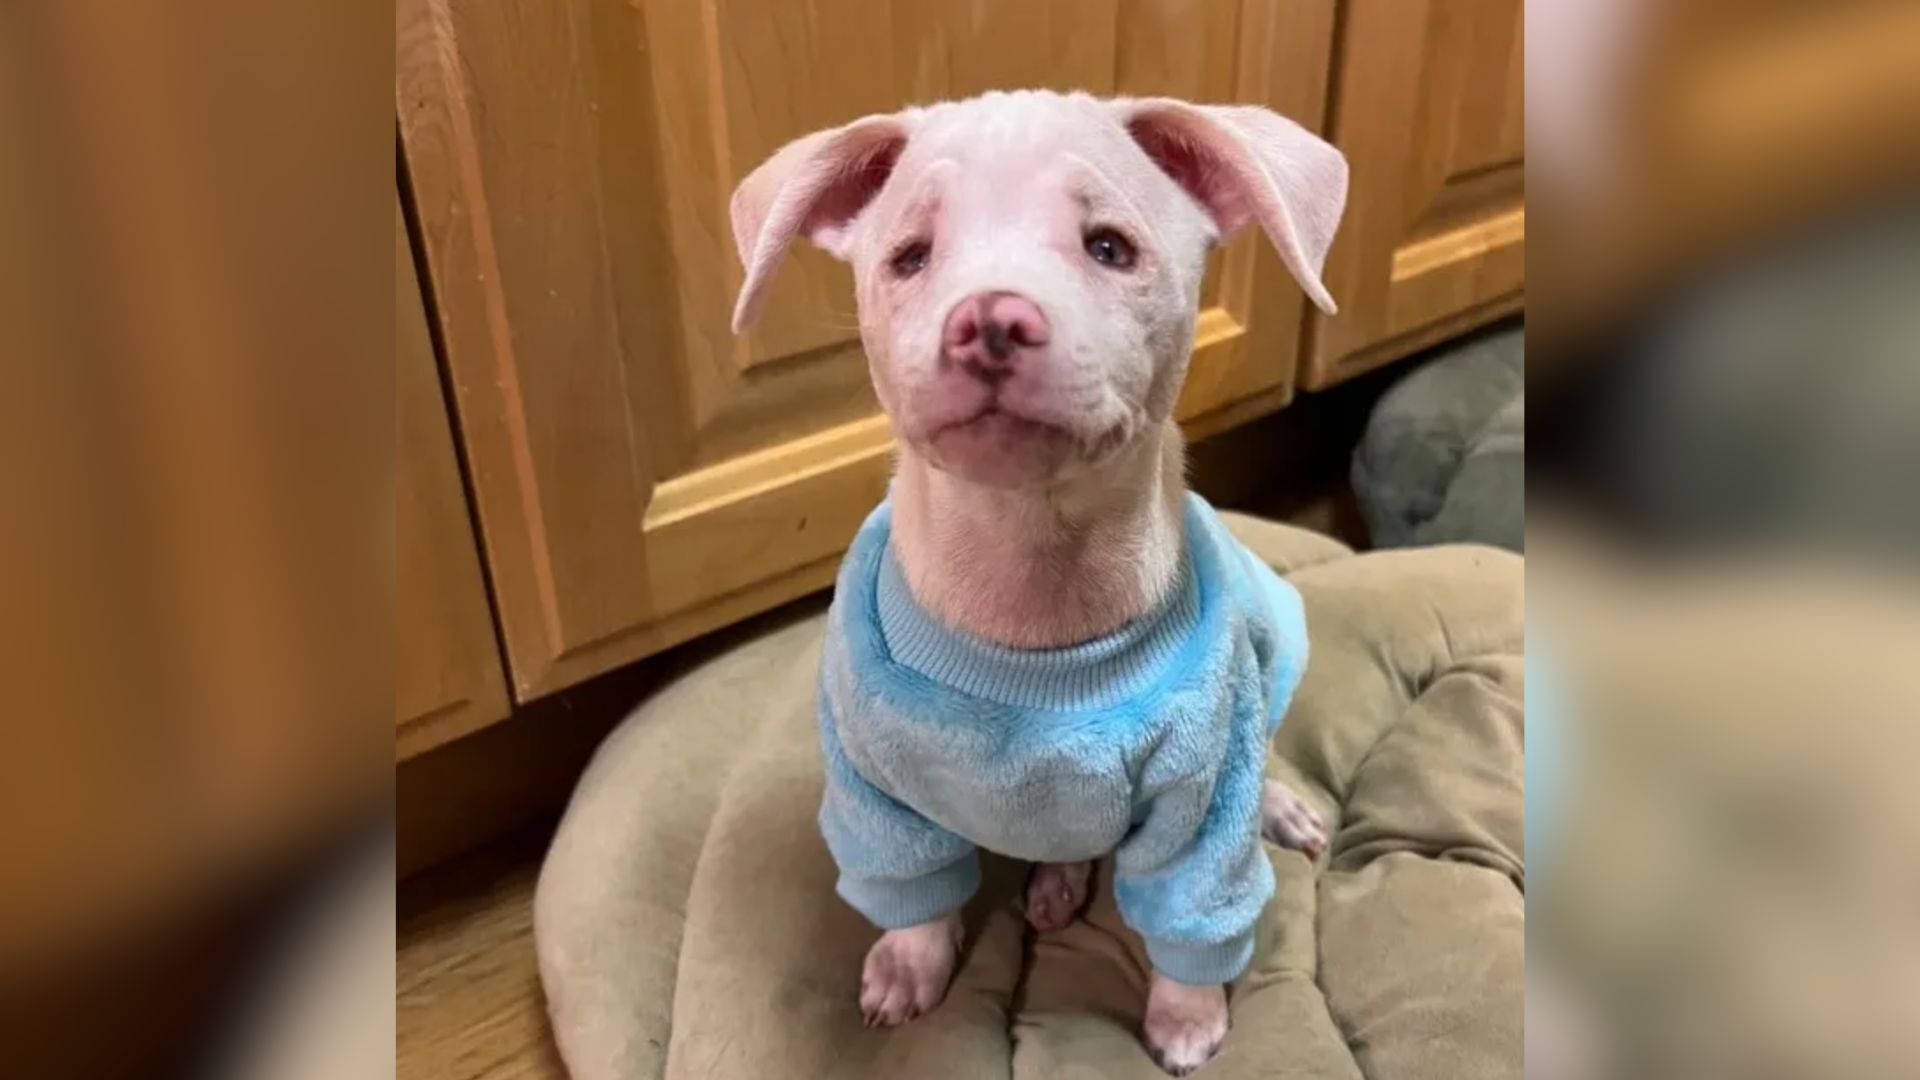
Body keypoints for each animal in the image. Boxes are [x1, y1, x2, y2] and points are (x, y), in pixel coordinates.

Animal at [725, 88, 1344, 1068]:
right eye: (909, 256)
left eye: (1110, 247)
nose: (990, 323)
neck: (1032, 582)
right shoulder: (875, 790)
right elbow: (913, 889)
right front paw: (910, 963)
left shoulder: (1204, 798)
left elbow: (1194, 910)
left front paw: (1187, 1013)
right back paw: (1056, 880)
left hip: (1267, 661)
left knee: (1267, 753)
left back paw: (1280, 810)